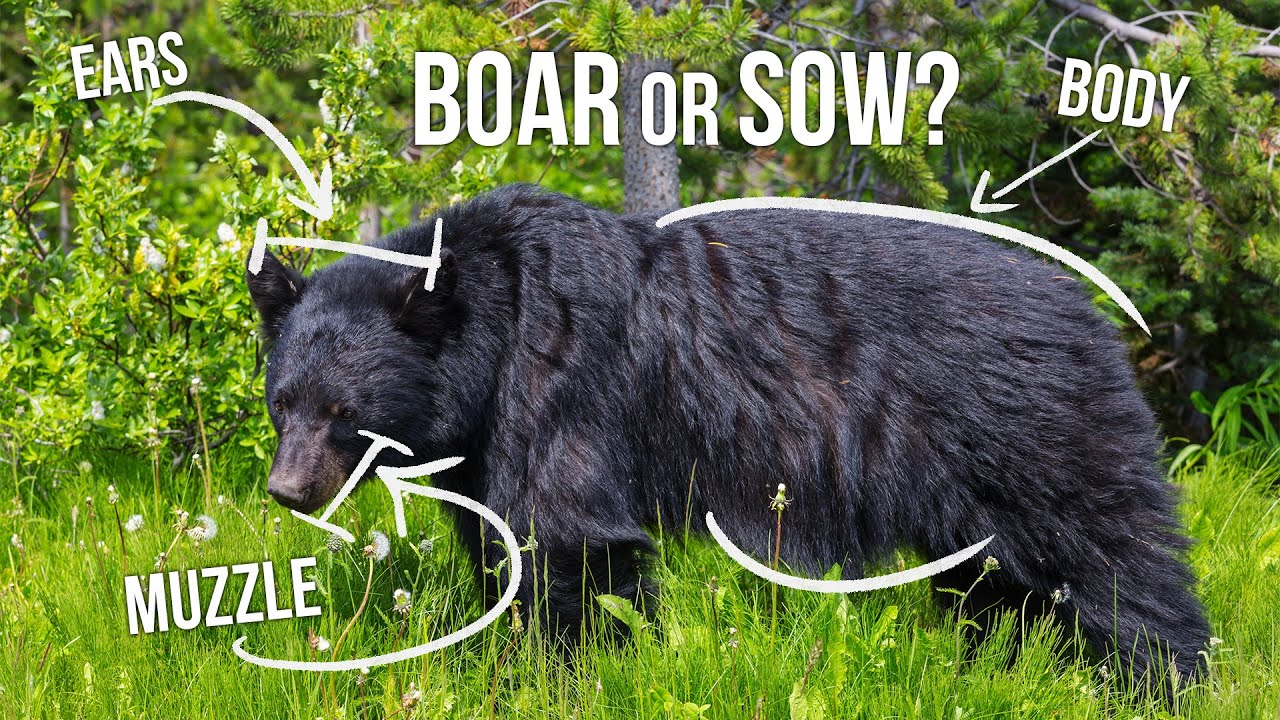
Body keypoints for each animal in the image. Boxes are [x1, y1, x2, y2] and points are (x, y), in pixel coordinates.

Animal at [247, 183, 1210, 685]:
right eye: (283, 401)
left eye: (344, 412)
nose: (287, 492)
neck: (489, 325)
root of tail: (1086, 307)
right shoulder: (486, 437)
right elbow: (502, 541)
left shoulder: (562, 376)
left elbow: (566, 536)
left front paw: (557, 675)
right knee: (1001, 586)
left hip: (1034, 430)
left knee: (1111, 559)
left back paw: (1159, 679)